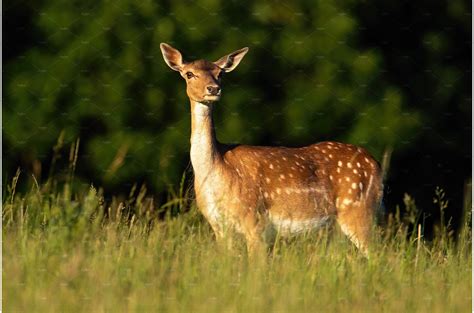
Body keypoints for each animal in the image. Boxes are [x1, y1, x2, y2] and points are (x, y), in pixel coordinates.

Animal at [161, 42, 384, 255]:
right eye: (189, 73)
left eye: (220, 73)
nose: (213, 88)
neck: (217, 171)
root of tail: (376, 164)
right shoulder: (219, 226)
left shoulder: (254, 219)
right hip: (336, 228)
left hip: (358, 210)